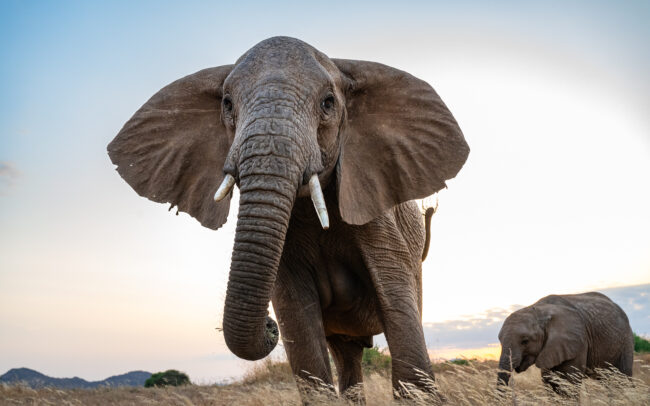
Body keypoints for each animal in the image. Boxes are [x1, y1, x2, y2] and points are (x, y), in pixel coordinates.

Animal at [107, 36, 469, 402]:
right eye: (227, 104)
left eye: (328, 103)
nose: (269, 326)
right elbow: (302, 332)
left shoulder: (379, 212)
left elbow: (400, 318)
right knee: (347, 357)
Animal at [497, 292, 634, 395]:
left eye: (525, 341)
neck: (540, 310)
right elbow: (549, 381)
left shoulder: (578, 341)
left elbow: (570, 382)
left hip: (626, 341)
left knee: (622, 379)